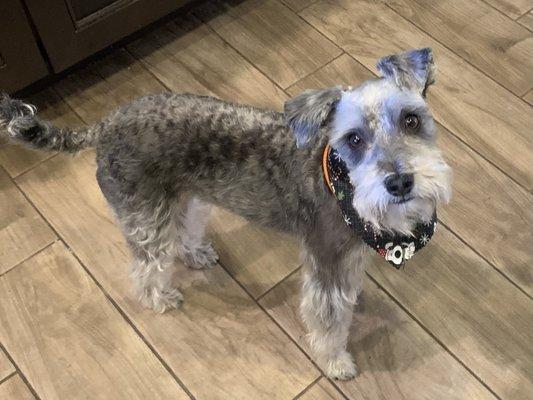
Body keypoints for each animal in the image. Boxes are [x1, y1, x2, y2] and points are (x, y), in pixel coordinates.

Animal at [0, 48, 450, 380]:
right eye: (353, 138)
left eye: (411, 119)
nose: (400, 182)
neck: (341, 182)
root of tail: (104, 125)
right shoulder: (326, 263)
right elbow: (327, 322)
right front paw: (337, 363)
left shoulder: (346, 256)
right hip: (146, 215)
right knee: (146, 265)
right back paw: (160, 298)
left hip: (188, 198)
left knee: (184, 231)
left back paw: (197, 254)